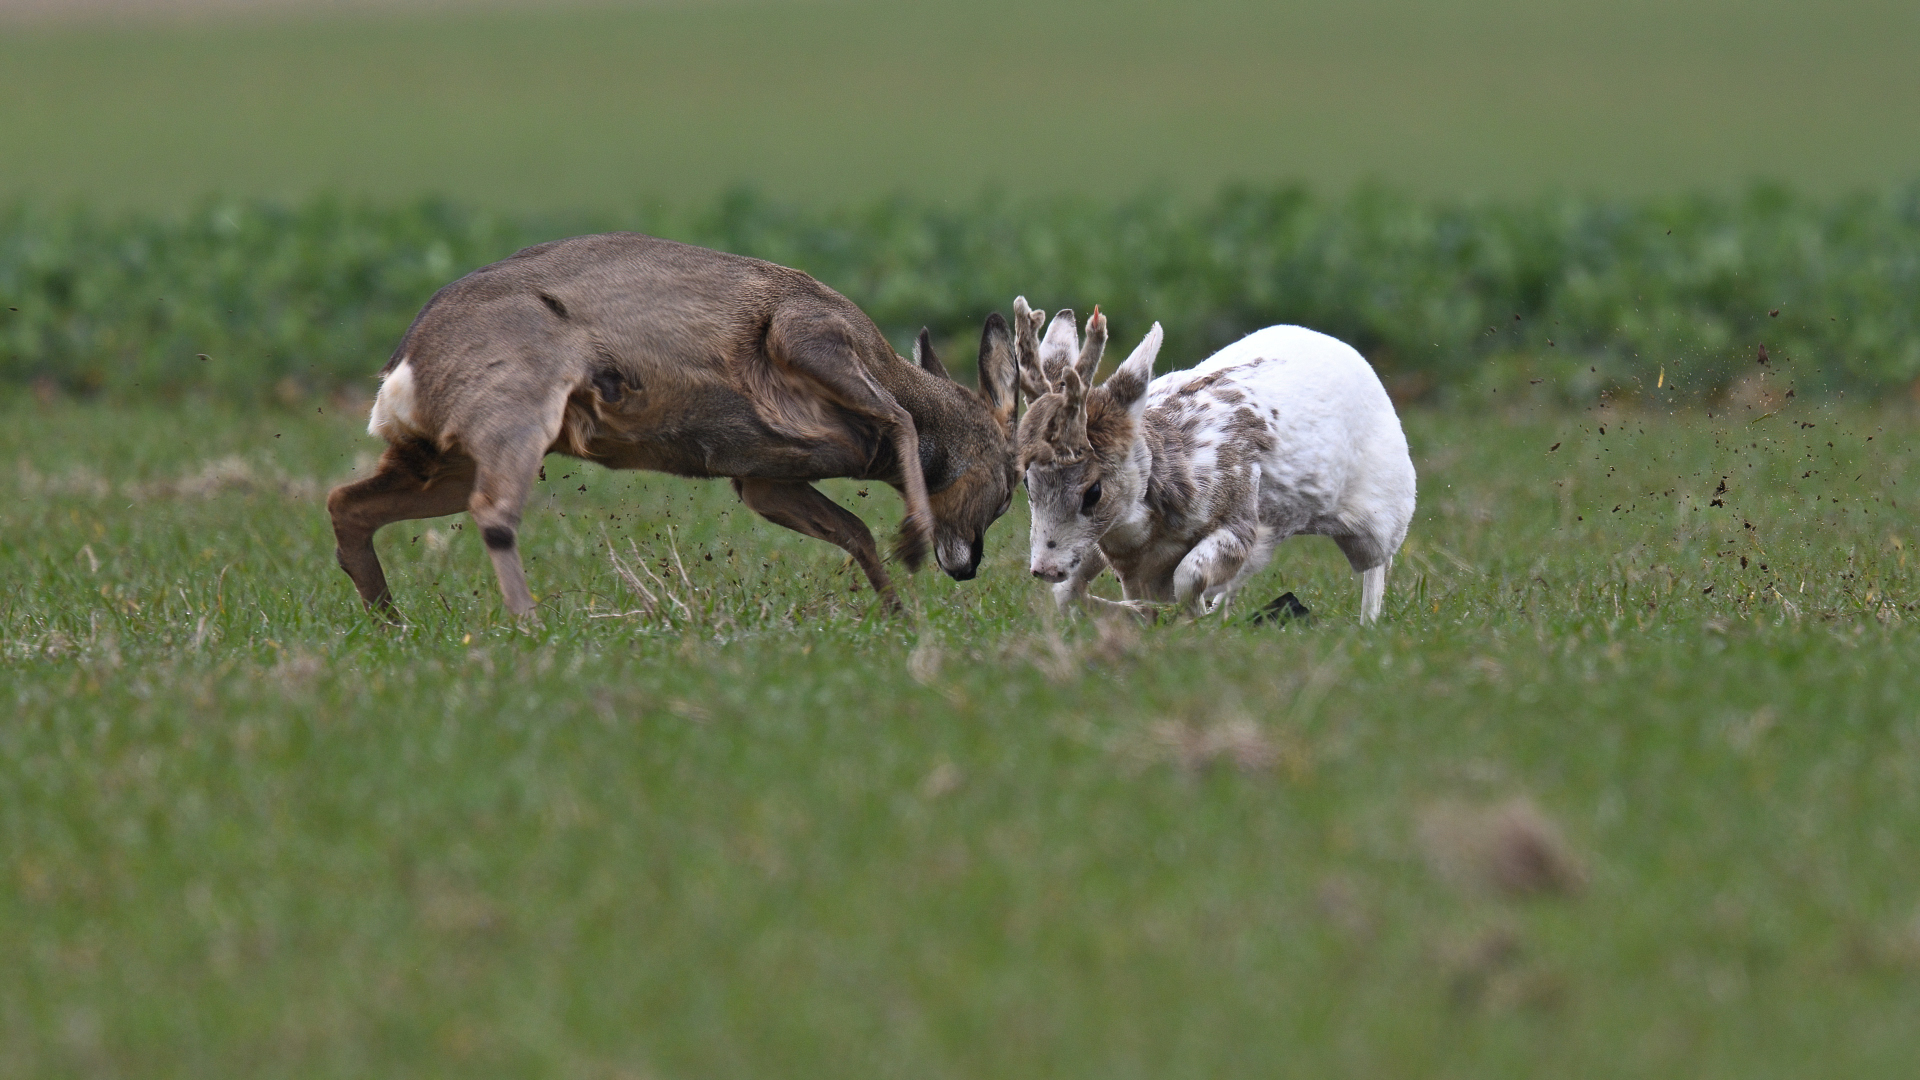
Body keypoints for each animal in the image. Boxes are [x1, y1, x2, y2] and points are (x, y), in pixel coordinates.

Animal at [332, 235, 1029, 622]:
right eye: (1010, 486)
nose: (967, 568)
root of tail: (400, 370)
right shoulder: (806, 328)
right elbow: (902, 418)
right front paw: (911, 542)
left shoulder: (761, 478)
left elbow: (853, 530)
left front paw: (898, 616)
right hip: (516, 401)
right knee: (493, 510)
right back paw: (529, 625)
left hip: (441, 453)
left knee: (347, 503)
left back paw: (390, 622)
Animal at [1013, 305, 1420, 622]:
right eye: (1028, 483)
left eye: (1093, 492)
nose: (1044, 569)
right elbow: (1068, 595)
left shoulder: (1239, 527)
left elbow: (1188, 577)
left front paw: (1186, 617)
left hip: (1377, 520)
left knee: (1376, 567)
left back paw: (1368, 623)